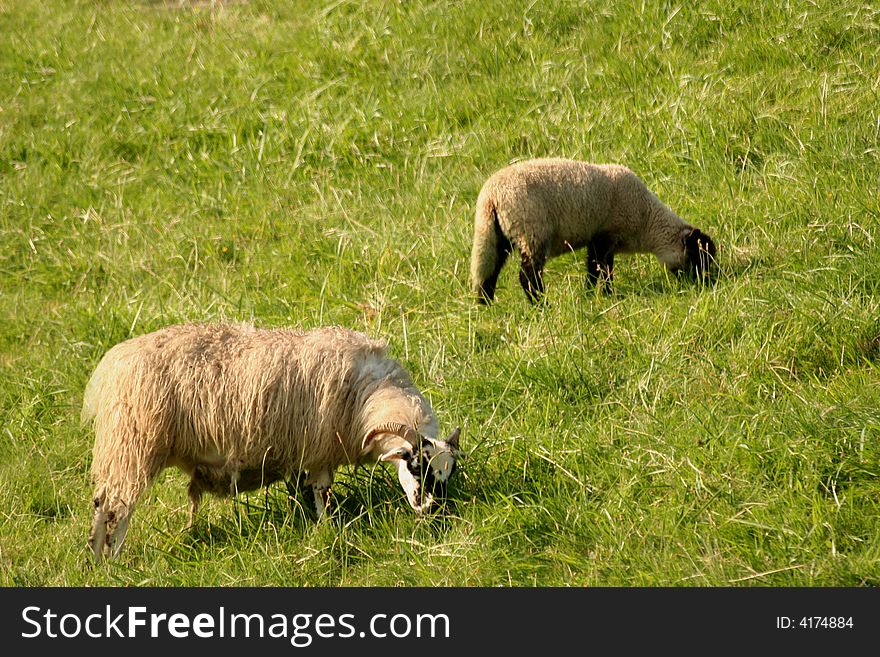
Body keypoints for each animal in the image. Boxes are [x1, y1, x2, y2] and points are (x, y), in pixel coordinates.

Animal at [82, 322, 464, 560]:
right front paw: (326, 528)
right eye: (415, 466)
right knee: (116, 507)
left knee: (105, 503)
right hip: (133, 444)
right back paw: (110, 560)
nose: (432, 510)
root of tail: (112, 365)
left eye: (449, 473)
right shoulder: (319, 451)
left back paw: (97, 561)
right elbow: (320, 491)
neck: (368, 395)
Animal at [468, 158, 716, 304]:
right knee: (528, 277)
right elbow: (597, 270)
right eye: (699, 257)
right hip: (532, 232)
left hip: (496, 234)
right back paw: (542, 306)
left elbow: (603, 269)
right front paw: (597, 294)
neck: (646, 220)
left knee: (488, 272)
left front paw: (600, 295)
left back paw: (488, 306)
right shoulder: (604, 235)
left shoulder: (603, 241)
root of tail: (491, 196)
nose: (708, 283)